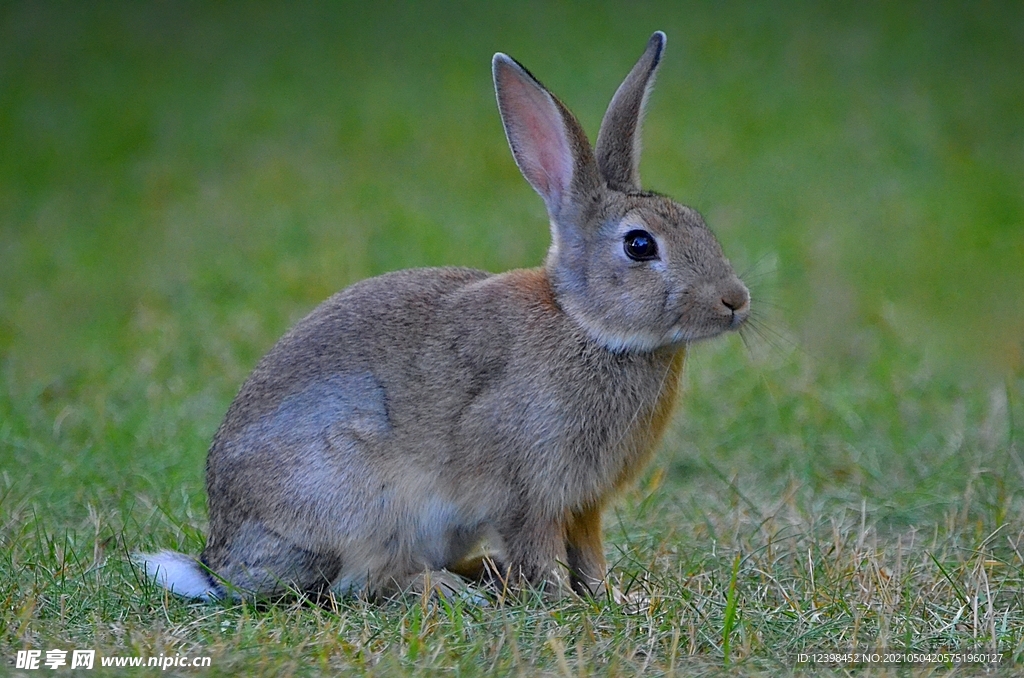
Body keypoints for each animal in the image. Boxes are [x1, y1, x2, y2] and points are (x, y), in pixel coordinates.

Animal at [136, 33, 749, 606]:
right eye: (640, 245)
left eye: (697, 222)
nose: (735, 301)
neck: (586, 325)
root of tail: (219, 566)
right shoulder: (526, 488)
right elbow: (539, 549)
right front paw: (559, 602)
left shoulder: (584, 503)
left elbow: (589, 553)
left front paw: (612, 598)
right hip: (364, 503)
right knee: (355, 586)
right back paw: (453, 589)